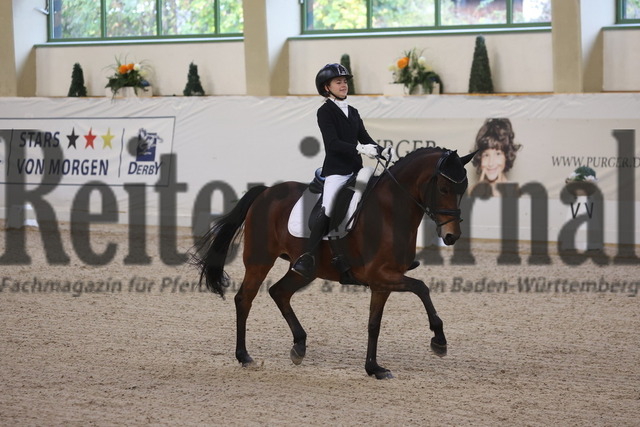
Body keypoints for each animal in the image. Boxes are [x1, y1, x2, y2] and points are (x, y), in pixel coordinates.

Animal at [192, 148, 478, 382]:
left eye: (462, 189)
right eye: (444, 189)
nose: (451, 236)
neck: (390, 211)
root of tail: (266, 192)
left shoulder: (382, 282)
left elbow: (374, 325)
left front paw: (374, 368)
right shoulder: (381, 274)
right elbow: (422, 288)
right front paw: (439, 341)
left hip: (305, 270)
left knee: (279, 292)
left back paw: (299, 346)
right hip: (259, 260)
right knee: (245, 299)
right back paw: (244, 356)